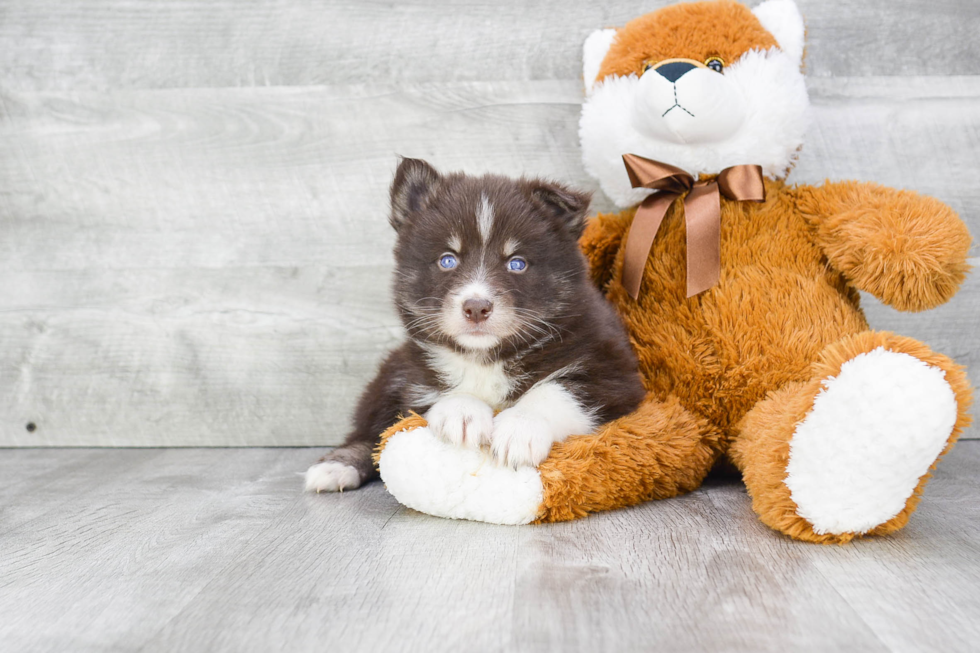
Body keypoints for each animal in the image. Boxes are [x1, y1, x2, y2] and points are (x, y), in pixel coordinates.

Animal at [302, 159, 648, 494]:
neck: (486, 357)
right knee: (369, 430)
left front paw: (519, 429)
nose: (476, 307)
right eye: (447, 260)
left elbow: (556, 390)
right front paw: (462, 413)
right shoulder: (412, 370)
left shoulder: (613, 369)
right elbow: (436, 391)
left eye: (517, 263)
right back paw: (336, 466)